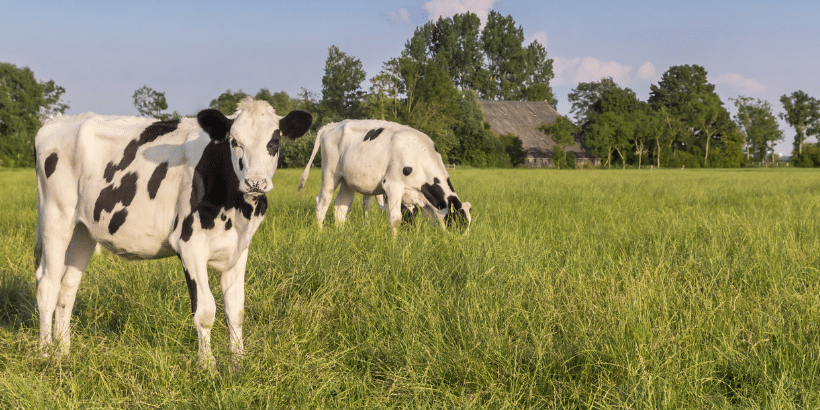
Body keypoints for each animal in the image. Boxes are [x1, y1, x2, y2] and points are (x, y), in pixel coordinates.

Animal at [33, 97, 312, 367]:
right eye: (235, 141)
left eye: (274, 142)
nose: (255, 182)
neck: (236, 207)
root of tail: (55, 123)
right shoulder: (190, 245)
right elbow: (205, 310)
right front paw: (207, 367)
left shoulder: (239, 248)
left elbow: (236, 311)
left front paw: (238, 364)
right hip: (55, 217)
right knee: (47, 286)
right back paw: (45, 354)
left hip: (83, 229)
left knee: (67, 288)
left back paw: (64, 353)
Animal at [296, 120, 471, 235]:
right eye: (459, 222)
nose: (461, 243)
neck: (419, 154)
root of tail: (332, 125)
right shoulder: (392, 186)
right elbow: (396, 218)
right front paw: (395, 244)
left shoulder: (420, 198)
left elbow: (426, 220)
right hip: (330, 174)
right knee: (323, 202)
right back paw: (319, 232)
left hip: (348, 181)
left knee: (341, 205)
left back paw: (341, 233)